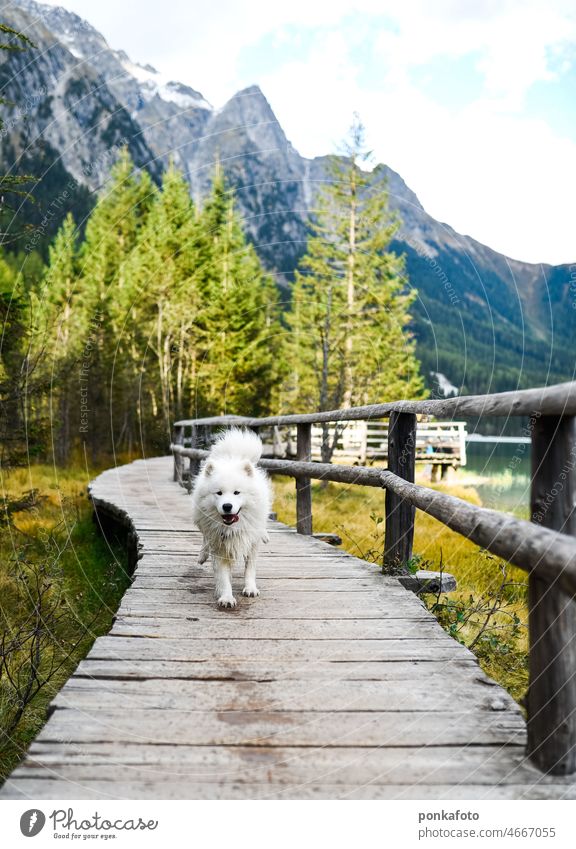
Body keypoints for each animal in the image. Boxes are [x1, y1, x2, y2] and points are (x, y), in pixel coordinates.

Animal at [189, 428, 270, 608]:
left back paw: (265, 535)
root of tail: (232, 457)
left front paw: (250, 588)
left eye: (237, 492)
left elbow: (250, 569)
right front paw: (226, 598)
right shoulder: (219, 547)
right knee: (204, 537)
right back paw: (202, 556)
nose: (227, 506)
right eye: (219, 493)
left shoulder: (251, 542)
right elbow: (223, 577)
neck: (232, 527)